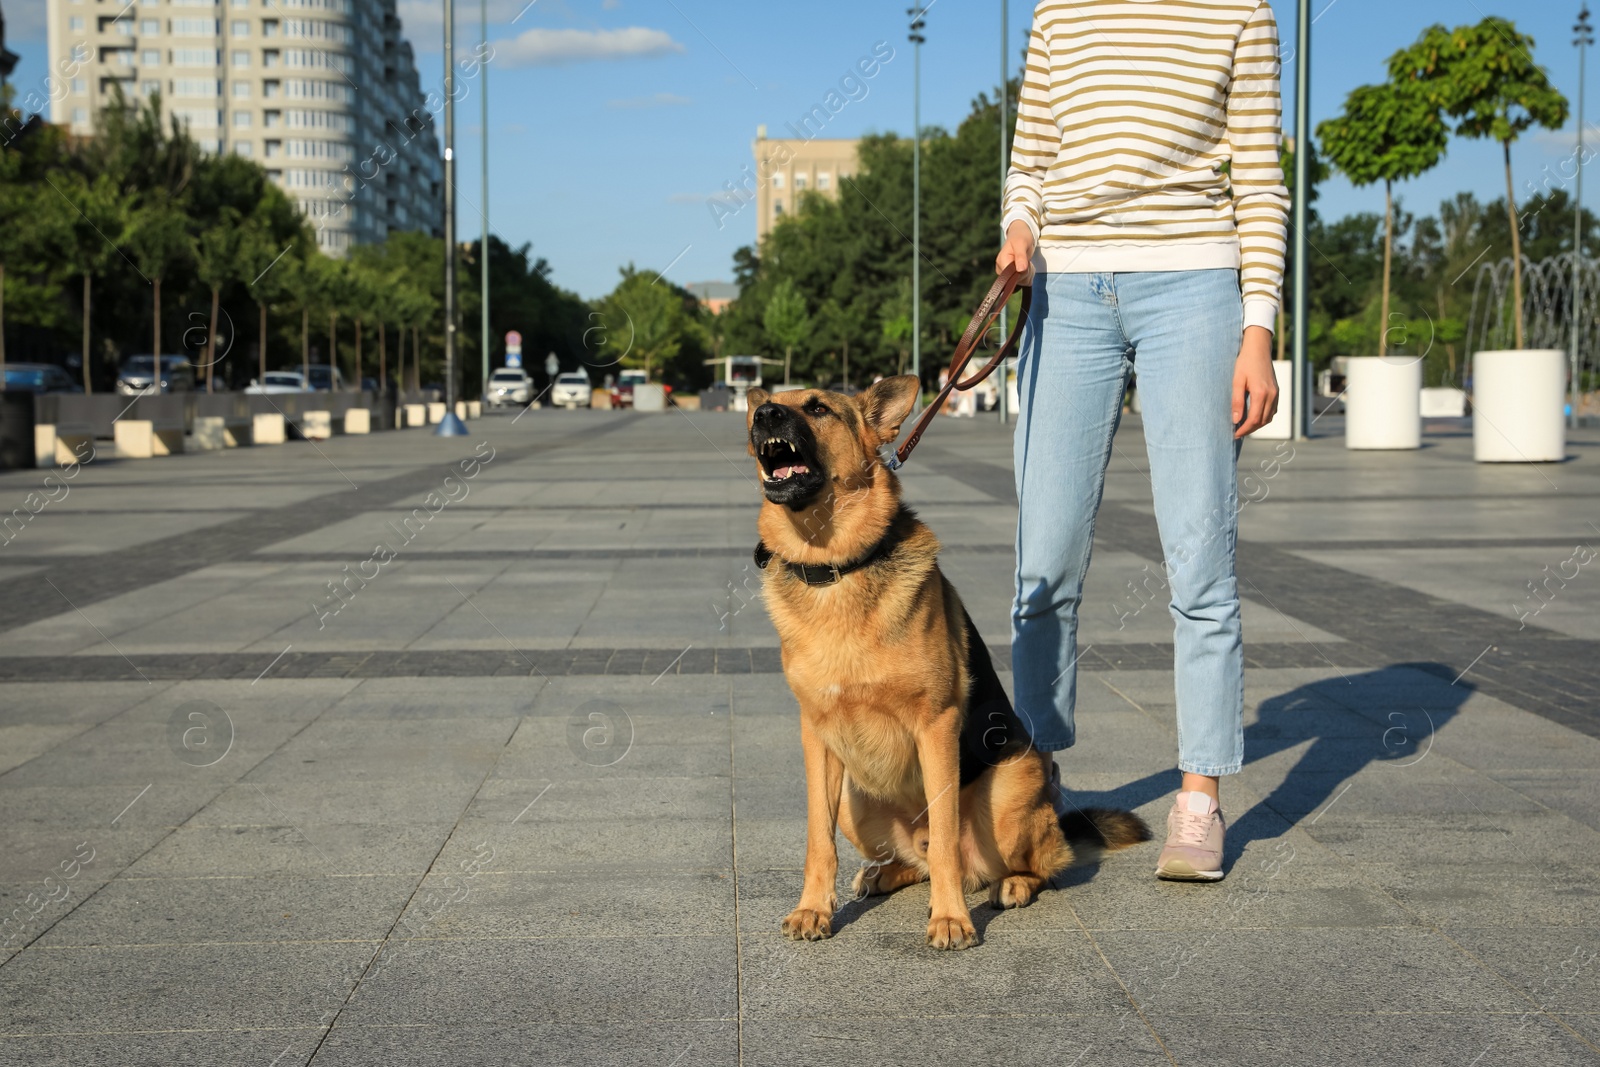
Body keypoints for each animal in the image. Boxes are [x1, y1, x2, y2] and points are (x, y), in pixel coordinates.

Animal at [742, 375, 1145, 953]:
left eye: (818, 408)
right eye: (774, 401)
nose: (763, 415)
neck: (836, 567)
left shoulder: (936, 725)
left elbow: (948, 841)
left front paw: (951, 919)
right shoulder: (816, 738)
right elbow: (818, 840)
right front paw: (814, 909)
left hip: (1012, 790)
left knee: (1033, 862)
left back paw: (1013, 885)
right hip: (857, 802)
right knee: (920, 860)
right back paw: (883, 873)